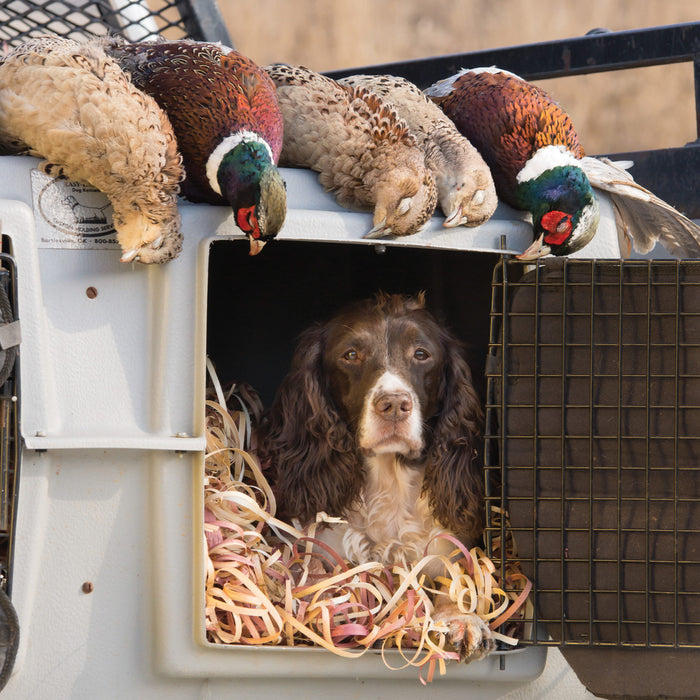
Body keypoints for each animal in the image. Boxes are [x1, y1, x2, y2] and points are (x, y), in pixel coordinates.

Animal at [260, 292, 494, 660]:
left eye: (421, 354)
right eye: (351, 355)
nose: (394, 404)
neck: (390, 481)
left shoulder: (448, 546)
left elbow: (452, 582)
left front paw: (459, 619)